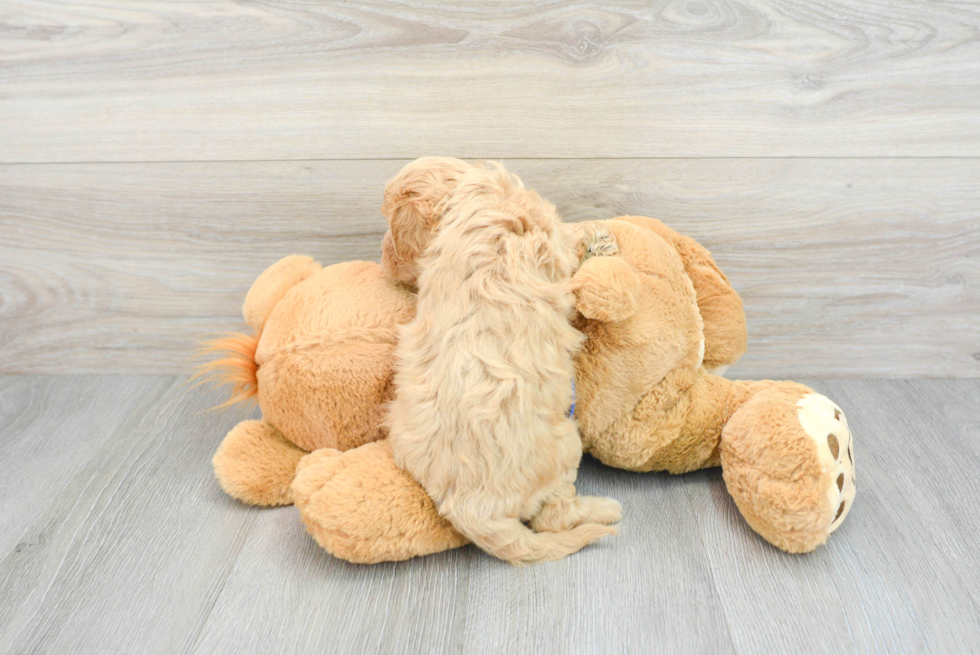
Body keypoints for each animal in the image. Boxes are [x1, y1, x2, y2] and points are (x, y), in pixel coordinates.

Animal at [384, 163, 620, 564]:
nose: (385, 262)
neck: (469, 194)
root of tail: (469, 508)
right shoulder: (550, 241)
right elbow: (569, 242)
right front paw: (597, 238)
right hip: (563, 448)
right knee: (553, 518)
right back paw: (605, 510)